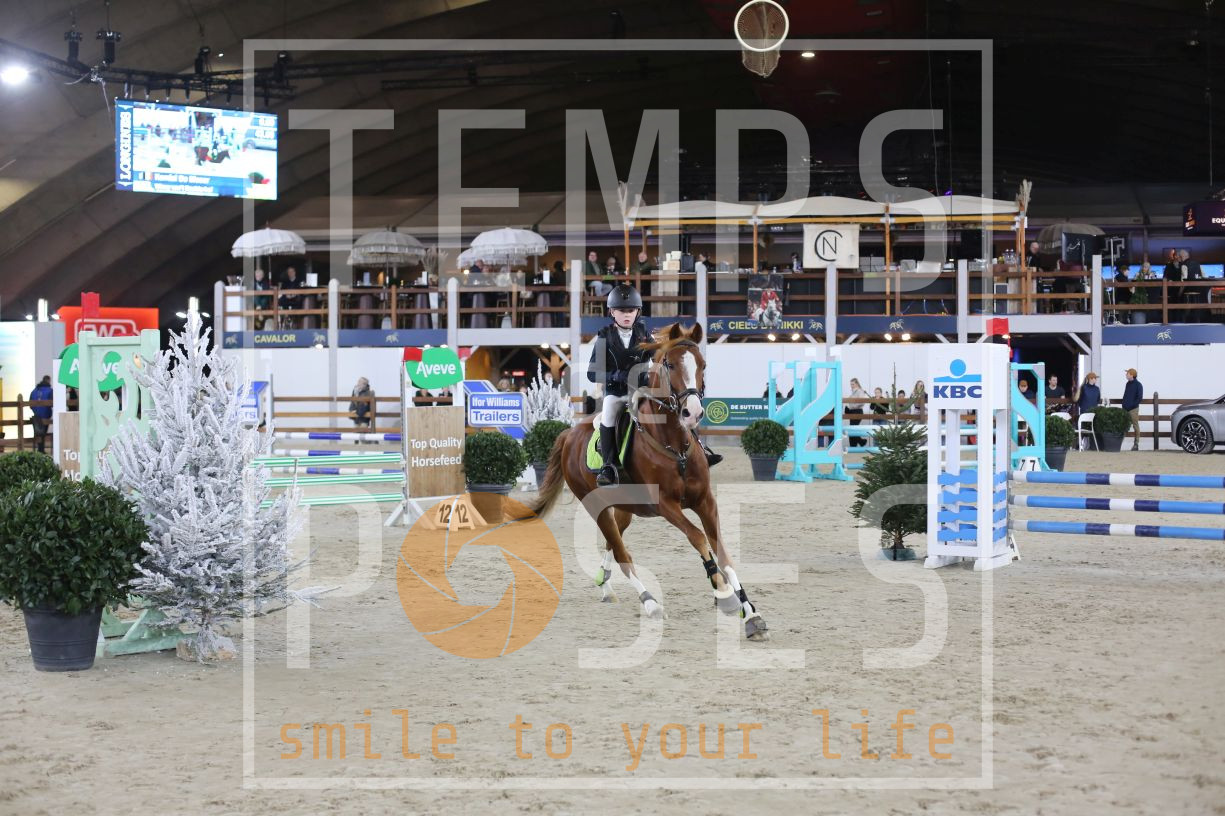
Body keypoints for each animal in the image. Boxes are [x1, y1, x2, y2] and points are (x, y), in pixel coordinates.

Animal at [527, 322, 769, 641]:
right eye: (670, 364)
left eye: (703, 365)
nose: (692, 413)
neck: (675, 446)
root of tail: (569, 435)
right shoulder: (666, 505)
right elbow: (698, 537)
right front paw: (725, 596)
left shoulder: (705, 501)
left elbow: (722, 552)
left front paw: (750, 614)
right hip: (596, 506)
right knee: (621, 552)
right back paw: (650, 602)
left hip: (625, 509)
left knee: (613, 540)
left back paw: (604, 583)